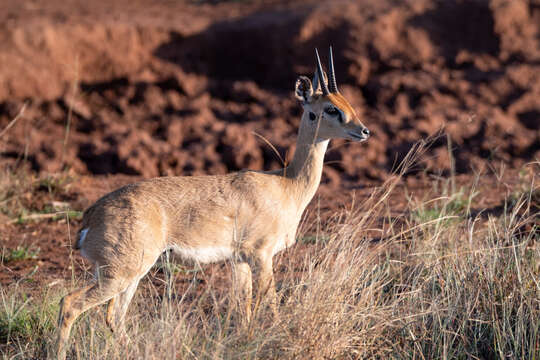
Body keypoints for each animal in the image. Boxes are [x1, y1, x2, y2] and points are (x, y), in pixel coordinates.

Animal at [56, 48, 368, 360]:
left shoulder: (239, 261)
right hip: (120, 274)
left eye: (346, 101)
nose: (364, 131)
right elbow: (271, 303)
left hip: (128, 275)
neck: (286, 186)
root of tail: (91, 216)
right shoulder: (261, 256)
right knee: (70, 304)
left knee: (114, 317)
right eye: (330, 109)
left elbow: (244, 310)